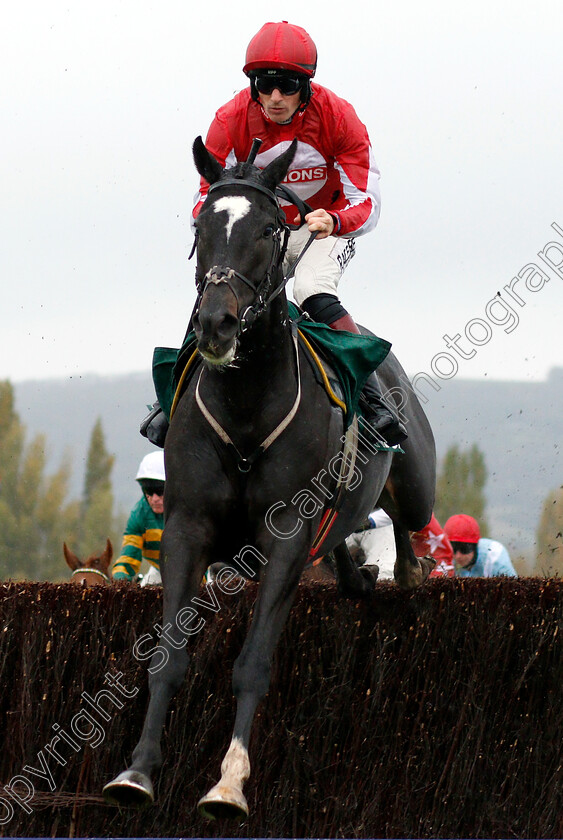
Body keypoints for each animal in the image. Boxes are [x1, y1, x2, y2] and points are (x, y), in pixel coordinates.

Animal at [102, 138, 436, 820]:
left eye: (267, 229)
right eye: (200, 230)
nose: (217, 325)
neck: (247, 408)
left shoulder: (283, 535)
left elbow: (253, 662)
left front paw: (229, 782)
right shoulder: (187, 527)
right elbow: (169, 657)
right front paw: (138, 771)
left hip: (416, 486)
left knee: (409, 526)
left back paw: (410, 568)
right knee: (347, 551)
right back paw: (362, 573)